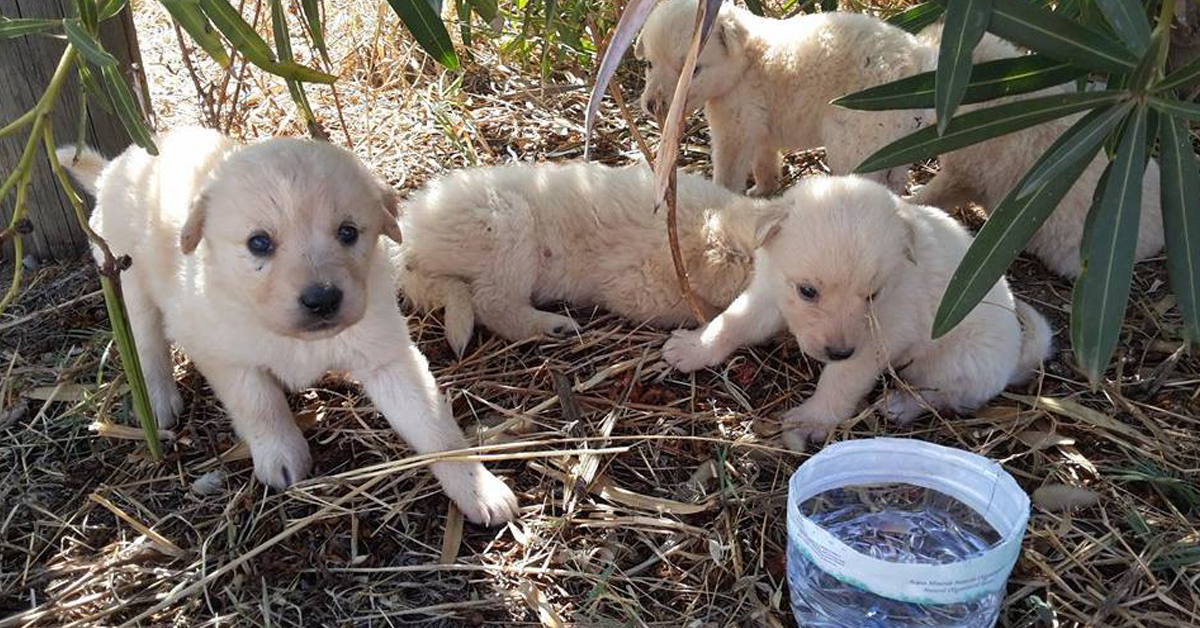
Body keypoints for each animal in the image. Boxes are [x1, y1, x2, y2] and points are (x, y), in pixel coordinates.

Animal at [60, 127, 518, 525]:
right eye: (259, 243)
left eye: (348, 232)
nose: (322, 299)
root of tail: (118, 164)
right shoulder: (226, 356)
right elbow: (260, 406)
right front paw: (281, 455)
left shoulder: (388, 357)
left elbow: (436, 430)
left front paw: (478, 487)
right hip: (130, 285)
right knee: (146, 344)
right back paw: (158, 400)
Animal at [633, 0, 931, 194]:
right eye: (648, 64)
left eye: (693, 70)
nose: (652, 105)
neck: (747, 59)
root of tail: (918, 60)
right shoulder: (759, 132)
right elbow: (764, 165)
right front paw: (762, 192)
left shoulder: (734, 128)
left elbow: (728, 172)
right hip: (893, 141)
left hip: (856, 142)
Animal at [667, 175, 1051, 451]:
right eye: (807, 291)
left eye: (872, 295)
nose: (838, 351)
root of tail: (1017, 357)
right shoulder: (766, 293)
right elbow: (731, 321)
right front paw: (694, 347)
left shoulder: (878, 341)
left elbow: (840, 381)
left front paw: (813, 419)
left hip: (959, 360)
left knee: (943, 396)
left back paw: (900, 404)